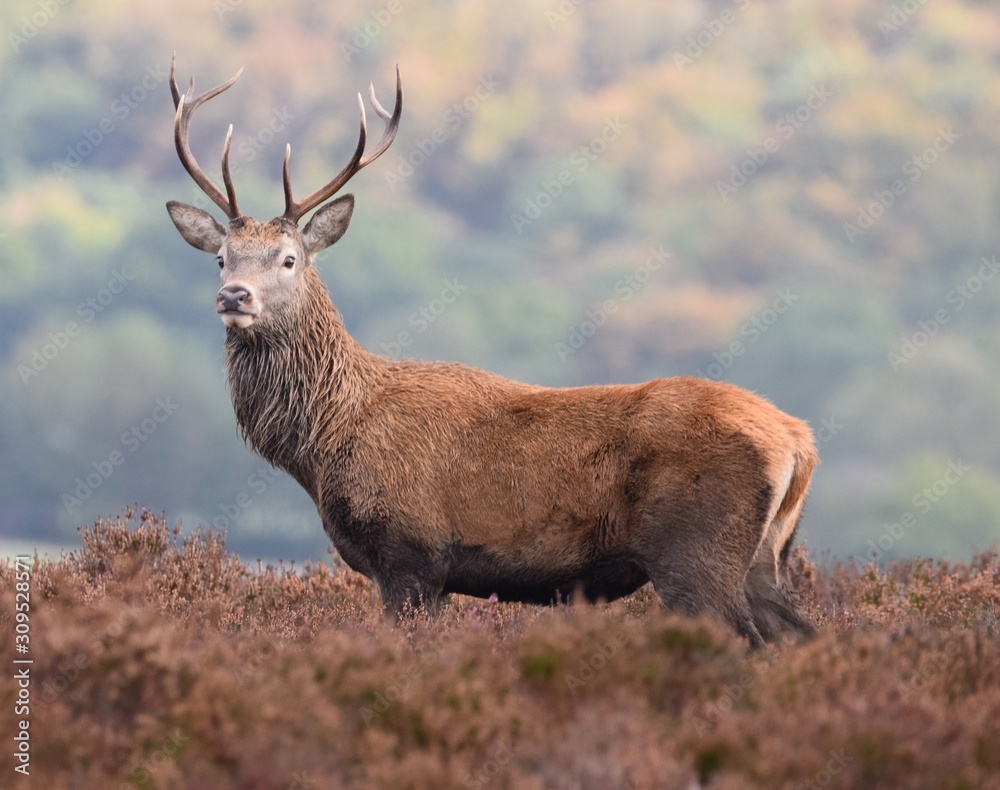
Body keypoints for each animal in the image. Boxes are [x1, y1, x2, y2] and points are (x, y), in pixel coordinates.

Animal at [165, 55, 818, 648]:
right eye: (221, 257)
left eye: (289, 259)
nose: (233, 295)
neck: (322, 444)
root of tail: (798, 441)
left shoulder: (410, 554)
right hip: (765, 556)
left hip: (696, 554)